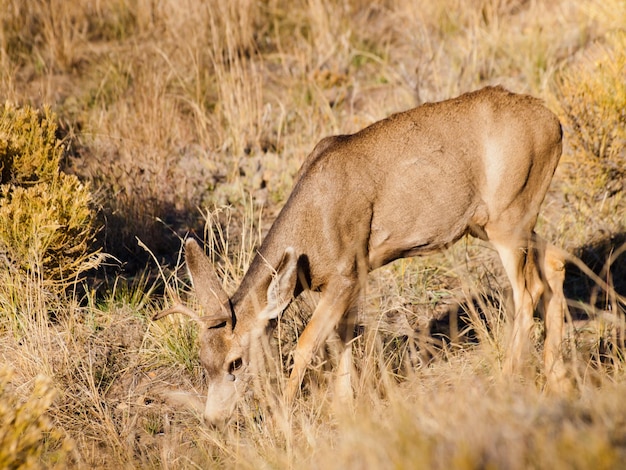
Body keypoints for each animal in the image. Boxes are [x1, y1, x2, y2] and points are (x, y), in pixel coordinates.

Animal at [154, 85, 568, 426]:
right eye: (202, 361)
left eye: (235, 362)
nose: (213, 420)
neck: (312, 231)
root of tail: (554, 123)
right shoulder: (346, 281)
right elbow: (341, 339)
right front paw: (346, 409)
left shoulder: (347, 271)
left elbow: (306, 344)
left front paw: (285, 415)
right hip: (500, 220)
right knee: (554, 263)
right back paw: (555, 377)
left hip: (508, 215)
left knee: (527, 291)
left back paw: (510, 379)